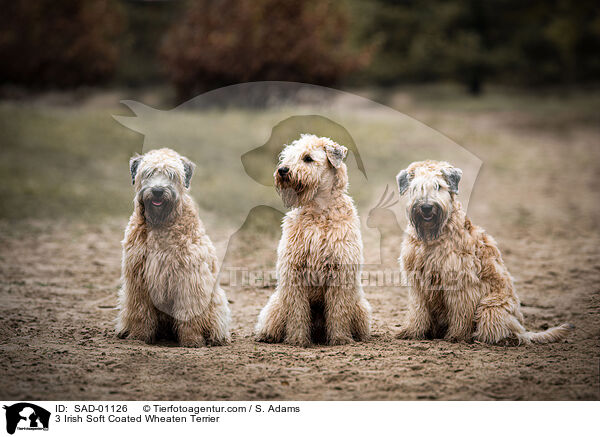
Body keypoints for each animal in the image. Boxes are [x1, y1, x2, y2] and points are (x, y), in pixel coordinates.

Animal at [394, 160, 572, 344]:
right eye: (416, 188)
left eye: (439, 186)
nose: (426, 207)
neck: (433, 237)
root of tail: (522, 328)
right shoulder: (418, 280)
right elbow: (418, 309)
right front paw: (412, 331)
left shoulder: (461, 281)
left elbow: (461, 311)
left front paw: (457, 336)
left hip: (490, 308)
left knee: (506, 332)